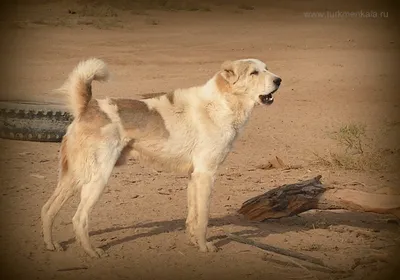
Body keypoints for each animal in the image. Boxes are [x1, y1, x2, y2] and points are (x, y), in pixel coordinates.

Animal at [40, 57, 282, 258]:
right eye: (254, 73)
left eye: (267, 69)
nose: (279, 80)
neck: (222, 103)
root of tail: (88, 107)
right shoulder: (206, 174)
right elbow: (203, 218)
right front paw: (205, 247)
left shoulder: (194, 177)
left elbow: (192, 217)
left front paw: (194, 243)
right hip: (97, 178)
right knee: (79, 218)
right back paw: (91, 252)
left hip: (75, 176)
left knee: (48, 208)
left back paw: (51, 245)